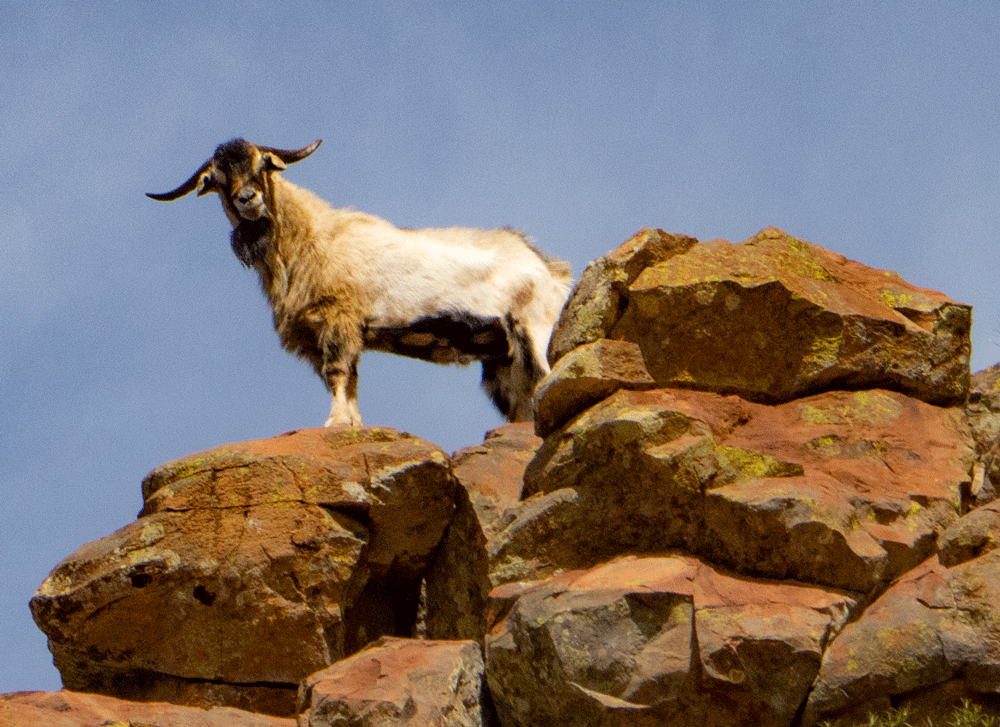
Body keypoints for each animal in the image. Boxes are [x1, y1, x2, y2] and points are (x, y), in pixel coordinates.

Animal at [147, 138, 572, 426]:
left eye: (263, 164)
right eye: (217, 180)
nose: (248, 199)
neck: (309, 237)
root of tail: (550, 267)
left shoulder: (340, 320)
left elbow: (339, 374)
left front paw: (335, 423)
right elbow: (347, 380)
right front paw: (350, 424)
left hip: (534, 329)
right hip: (503, 355)